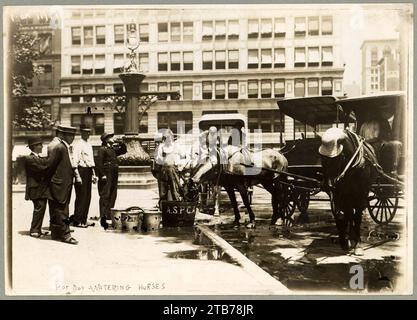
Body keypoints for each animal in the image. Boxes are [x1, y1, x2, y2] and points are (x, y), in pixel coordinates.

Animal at [318, 127, 376, 255]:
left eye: (337, 159)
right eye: (322, 159)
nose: (327, 185)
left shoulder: (361, 194)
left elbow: (357, 217)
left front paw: (358, 245)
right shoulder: (341, 194)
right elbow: (345, 215)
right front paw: (345, 241)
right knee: (348, 214)